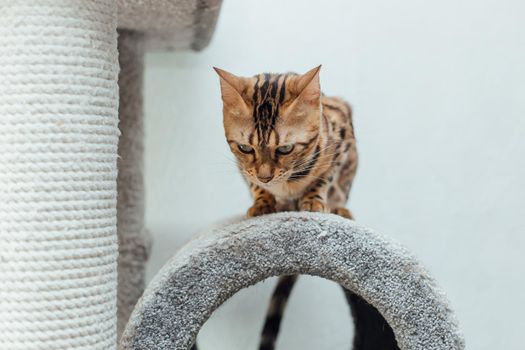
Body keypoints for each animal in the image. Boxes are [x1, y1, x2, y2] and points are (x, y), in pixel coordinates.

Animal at [213, 65, 356, 348]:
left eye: (285, 148)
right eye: (245, 148)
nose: (266, 176)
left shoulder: (340, 142)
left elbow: (324, 177)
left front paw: (313, 200)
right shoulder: (244, 169)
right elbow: (253, 183)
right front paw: (263, 202)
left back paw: (339, 209)